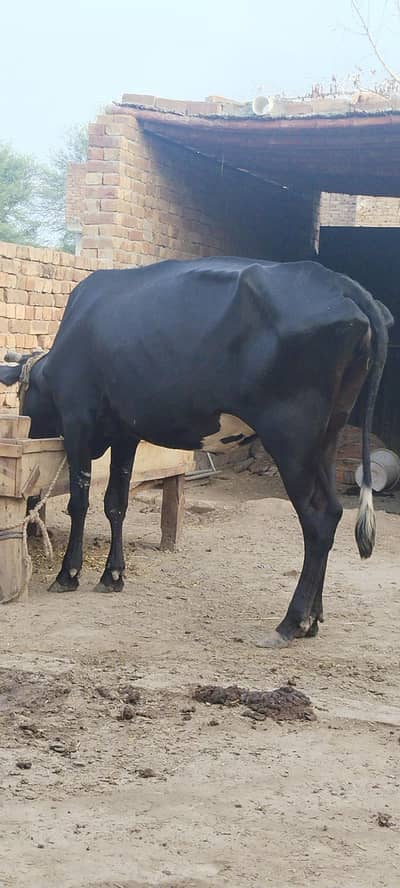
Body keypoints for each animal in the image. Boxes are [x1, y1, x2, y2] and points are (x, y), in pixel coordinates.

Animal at [0, 257, 393, 647]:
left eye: (21, 394)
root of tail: (339, 282)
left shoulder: (78, 420)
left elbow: (79, 502)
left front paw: (68, 574)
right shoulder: (126, 432)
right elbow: (116, 503)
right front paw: (113, 575)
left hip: (291, 440)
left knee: (318, 519)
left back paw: (290, 622)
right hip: (325, 438)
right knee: (334, 511)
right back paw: (313, 619)